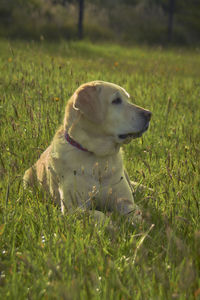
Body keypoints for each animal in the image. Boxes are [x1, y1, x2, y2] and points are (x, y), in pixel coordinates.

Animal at [23, 81, 152, 223]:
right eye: (116, 100)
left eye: (128, 99)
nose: (149, 114)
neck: (97, 156)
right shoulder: (72, 209)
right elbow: (98, 214)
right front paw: (111, 222)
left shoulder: (125, 201)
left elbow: (135, 213)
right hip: (26, 179)